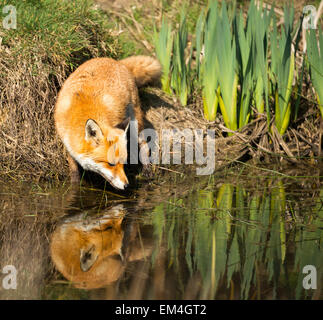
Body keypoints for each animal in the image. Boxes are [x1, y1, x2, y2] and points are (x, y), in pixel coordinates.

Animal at [55, 56, 163, 189]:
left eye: (123, 162)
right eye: (110, 164)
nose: (127, 185)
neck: (79, 111)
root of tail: (115, 61)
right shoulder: (68, 145)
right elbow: (74, 172)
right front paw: (75, 186)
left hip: (135, 122)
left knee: (143, 144)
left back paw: (147, 169)